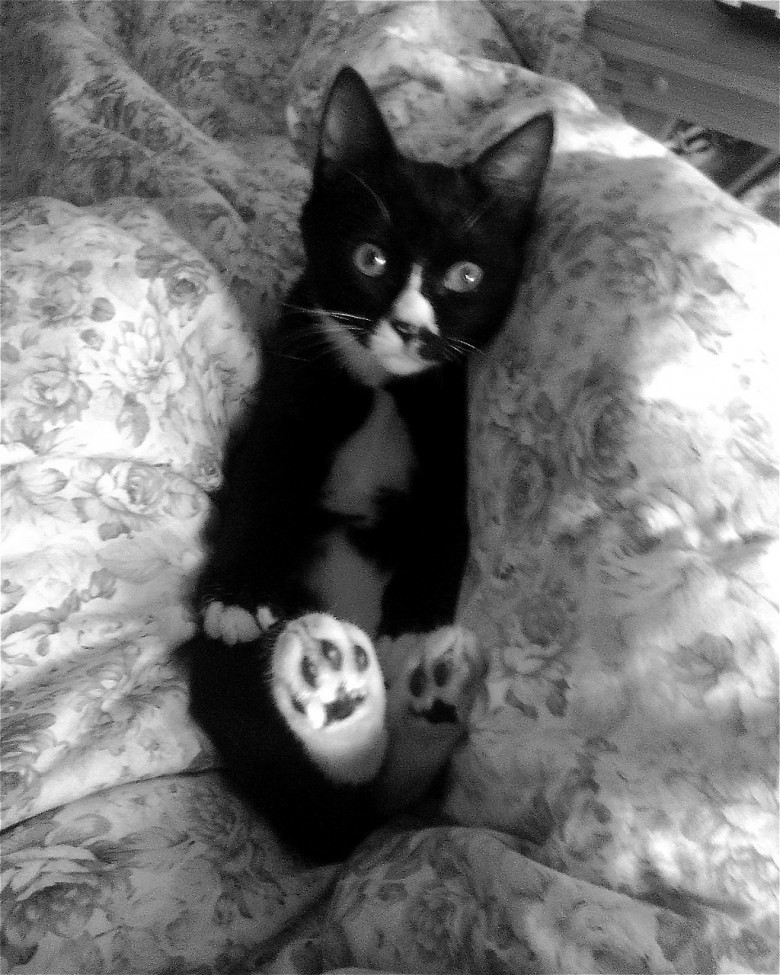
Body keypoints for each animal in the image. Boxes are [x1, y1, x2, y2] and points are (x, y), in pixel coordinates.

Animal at [178, 67, 553, 862]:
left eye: (466, 275)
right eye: (371, 259)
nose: (411, 328)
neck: (382, 389)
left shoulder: (452, 432)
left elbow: (448, 525)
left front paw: (409, 630)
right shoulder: (288, 392)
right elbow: (259, 482)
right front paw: (236, 596)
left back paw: (418, 683)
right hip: (227, 677)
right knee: (324, 810)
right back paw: (337, 686)